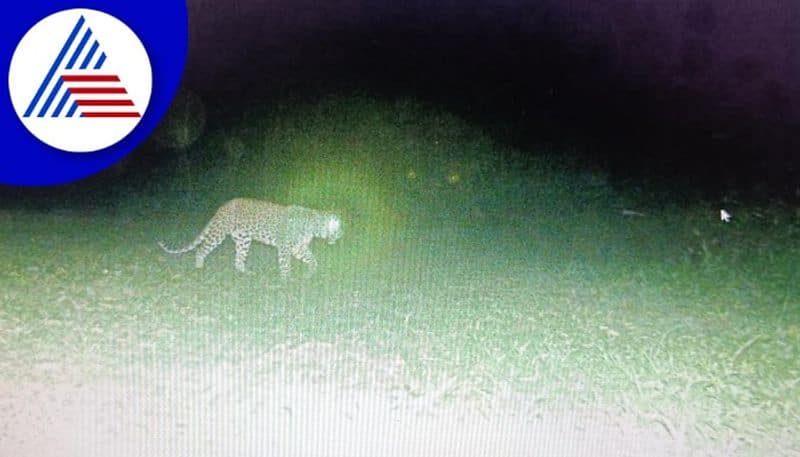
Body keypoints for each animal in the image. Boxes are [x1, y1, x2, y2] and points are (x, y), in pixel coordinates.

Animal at [158, 197, 342, 278]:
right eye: (340, 229)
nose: (341, 237)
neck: (314, 226)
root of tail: (222, 207)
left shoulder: (298, 247)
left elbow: (311, 258)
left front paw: (311, 272)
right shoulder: (285, 247)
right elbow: (285, 265)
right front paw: (287, 280)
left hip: (243, 239)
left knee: (239, 258)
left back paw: (245, 272)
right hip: (219, 233)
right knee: (201, 249)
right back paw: (199, 267)